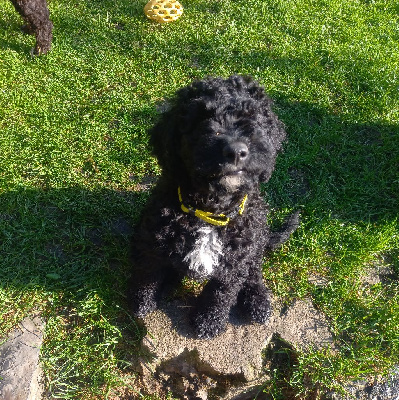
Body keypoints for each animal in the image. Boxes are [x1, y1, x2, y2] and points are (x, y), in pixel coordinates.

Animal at [128, 75, 300, 338]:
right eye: (202, 119)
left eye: (252, 118)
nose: (236, 151)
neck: (210, 211)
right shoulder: (155, 238)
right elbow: (149, 272)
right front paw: (142, 302)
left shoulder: (235, 259)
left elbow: (220, 292)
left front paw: (209, 322)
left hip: (257, 238)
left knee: (254, 271)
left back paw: (257, 301)